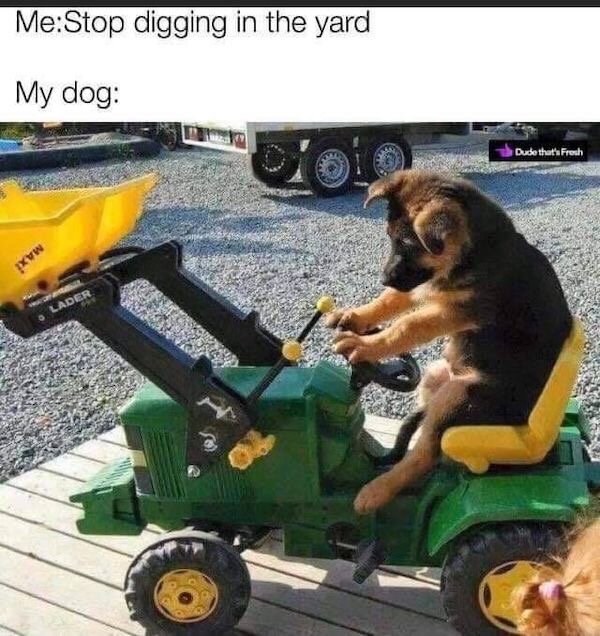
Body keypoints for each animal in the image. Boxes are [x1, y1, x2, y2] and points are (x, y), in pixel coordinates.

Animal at [327, 170, 572, 514]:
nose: (383, 278)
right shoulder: (422, 287)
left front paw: (364, 346)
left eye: (407, 243)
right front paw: (353, 316)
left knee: (428, 453)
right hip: (435, 376)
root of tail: (541, 445)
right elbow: (390, 301)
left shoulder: (455, 310)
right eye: (390, 238)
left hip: (460, 396)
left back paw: (376, 491)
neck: (474, 251)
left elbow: (408, 323)